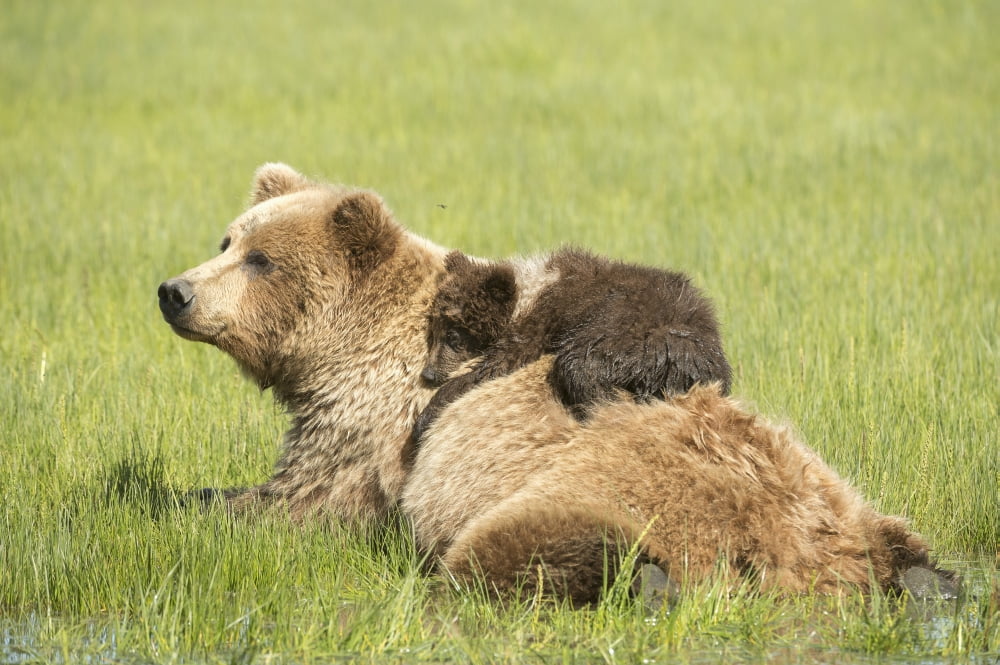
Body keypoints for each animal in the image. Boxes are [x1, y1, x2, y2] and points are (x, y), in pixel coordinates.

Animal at [413, 247, 732, 440]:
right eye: (434, 331)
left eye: (454, 336)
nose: (428, 373)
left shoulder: (538, 324)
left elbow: (496, 366)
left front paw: (425, 416)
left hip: (630, 337)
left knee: (579, 368)